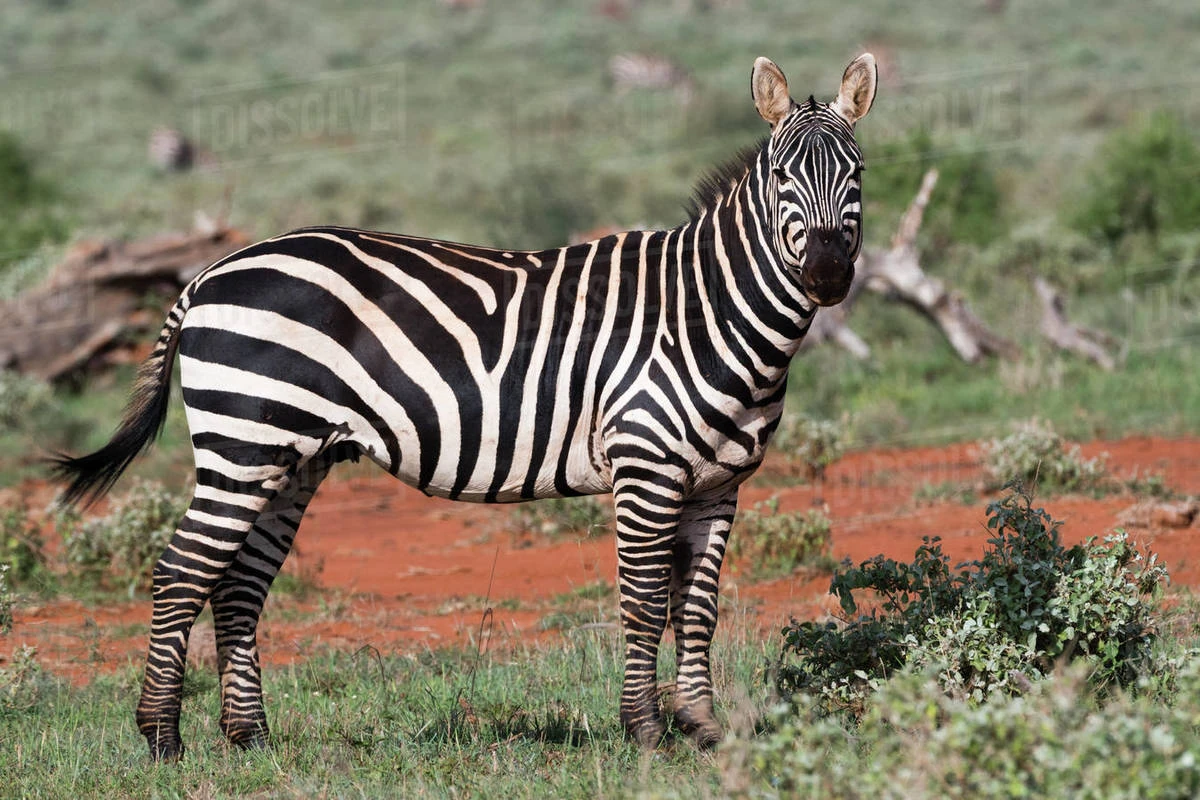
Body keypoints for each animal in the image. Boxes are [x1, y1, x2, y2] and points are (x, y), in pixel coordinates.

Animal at [54, 53, 876, 759]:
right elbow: (644, 603)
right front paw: (645, 733)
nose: (829, 274)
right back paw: (162, 738)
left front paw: (701, 729)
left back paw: (248, 739)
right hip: (245, 442)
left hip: (293, 458)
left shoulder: (717, 485)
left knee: (237, 583)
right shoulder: (645, 469)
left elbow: (699, 609)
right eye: (781, 176)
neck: (706, 313)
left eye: (858, 174)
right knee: (180, 571)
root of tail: (207, 274)